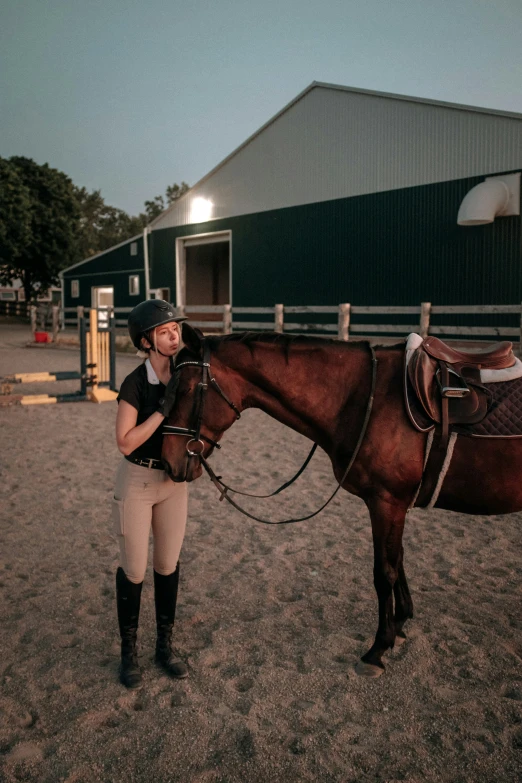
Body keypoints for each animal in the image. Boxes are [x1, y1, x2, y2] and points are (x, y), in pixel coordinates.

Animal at [160, 322, 520, 676]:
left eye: (186, 389)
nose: (168, 461)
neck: (367, 397)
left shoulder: (386, 502)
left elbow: (384, 572)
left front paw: (378, 648)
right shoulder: (395, 505)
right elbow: (398, 559)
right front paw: (401, 620)